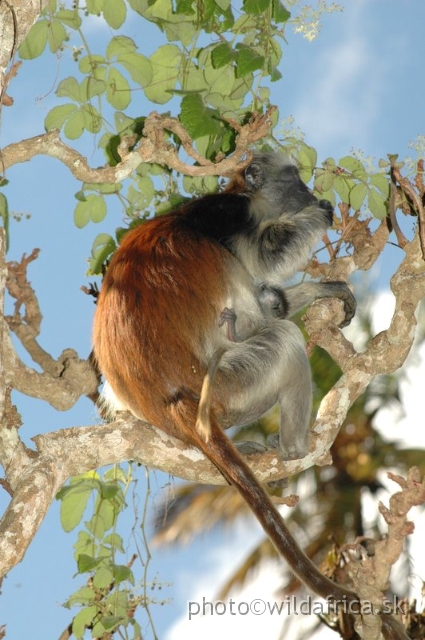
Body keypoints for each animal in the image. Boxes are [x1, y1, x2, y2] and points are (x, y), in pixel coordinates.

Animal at [93, 152, 408, 636]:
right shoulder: (230, 215)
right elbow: (264, 258)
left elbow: (270, 292)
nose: (310, 190)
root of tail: (173, 403)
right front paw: (319, 213)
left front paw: (325, 288)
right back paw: (296, 446)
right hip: (229, 383)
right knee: (280, 334)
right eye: (294, 179)